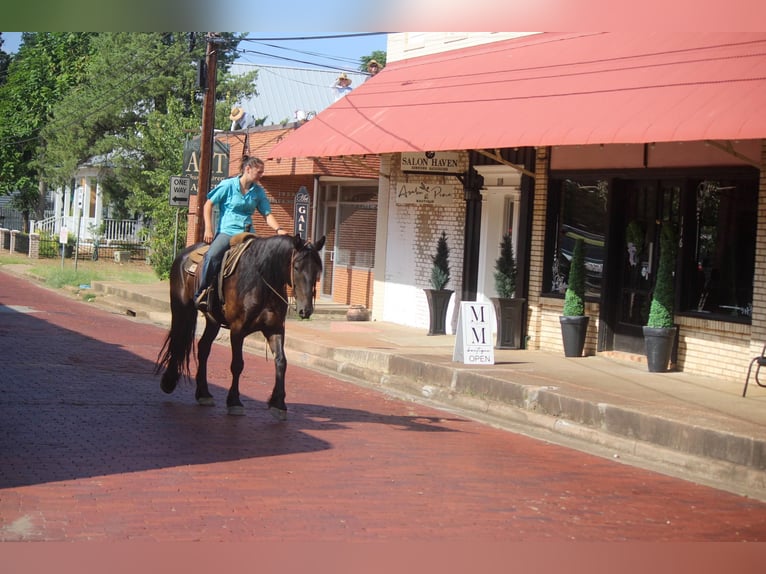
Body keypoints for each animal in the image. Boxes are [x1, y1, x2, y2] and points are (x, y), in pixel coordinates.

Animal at [154, 234, 326, 418]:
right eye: (296, 267)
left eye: (317, 270)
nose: (306, 310)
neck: (262, 281)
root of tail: (184, 254)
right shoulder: (237, 330)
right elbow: (237, 364)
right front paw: (234, 401)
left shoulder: (275, 329)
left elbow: (281, 362)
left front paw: (278, 404)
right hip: (181, 307)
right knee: (178, 339)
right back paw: (169, 382)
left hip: (213, 320)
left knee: (203, 348)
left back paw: (203, 393)